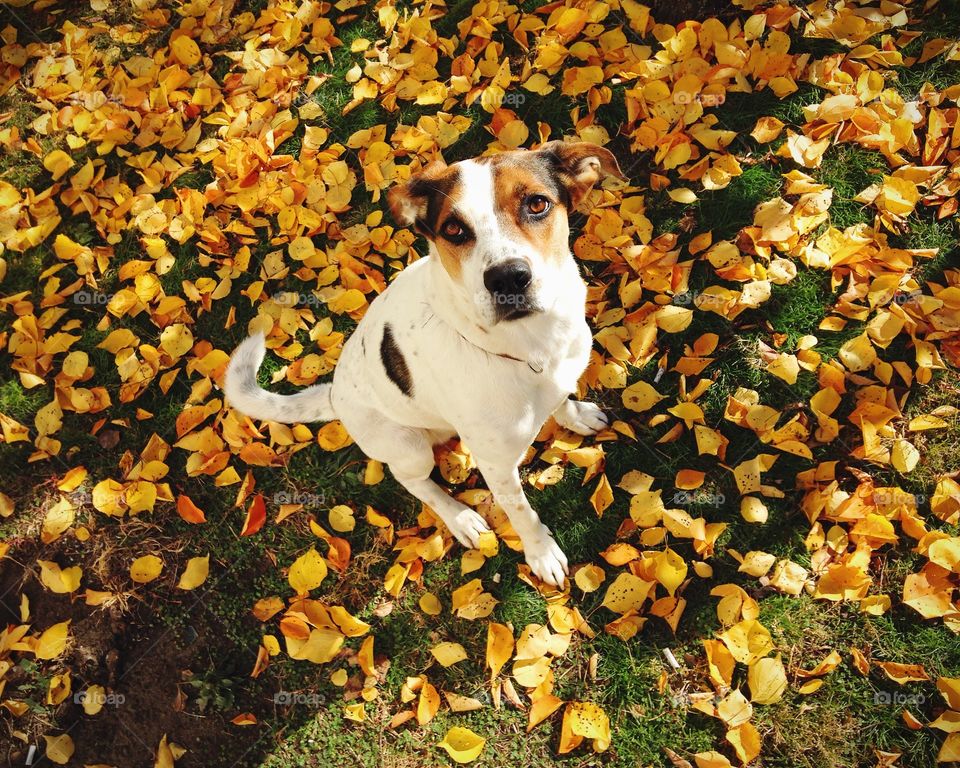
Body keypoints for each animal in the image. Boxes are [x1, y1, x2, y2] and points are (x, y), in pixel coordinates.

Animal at [227, 142, 632, 588]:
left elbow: (562, 401)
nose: (507, 278)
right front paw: (541, 553)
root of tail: (333, 393)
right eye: (453, 230)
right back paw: (459, 517)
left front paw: (576, 416)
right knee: (414, 482)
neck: (531, 348)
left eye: (537, 204)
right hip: (408, 445)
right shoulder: (496, 464)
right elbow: (522, 513)